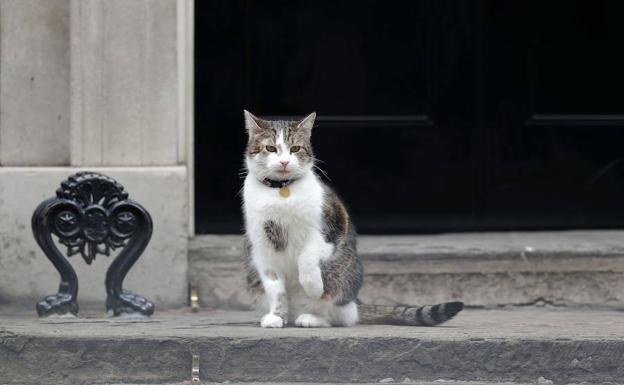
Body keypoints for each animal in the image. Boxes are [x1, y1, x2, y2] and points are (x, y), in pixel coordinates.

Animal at [244, 110, 464, 328]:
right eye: (271, 148)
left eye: (295, 148)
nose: (284, 162)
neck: (282, 191)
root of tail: (355, 302)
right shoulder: (262, 245)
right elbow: (275, 288)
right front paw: (277, 316)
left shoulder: (330, 228)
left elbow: (306, 257)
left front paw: (313, 287)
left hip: (340, 278)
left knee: (340, 316)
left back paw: (312, 317)